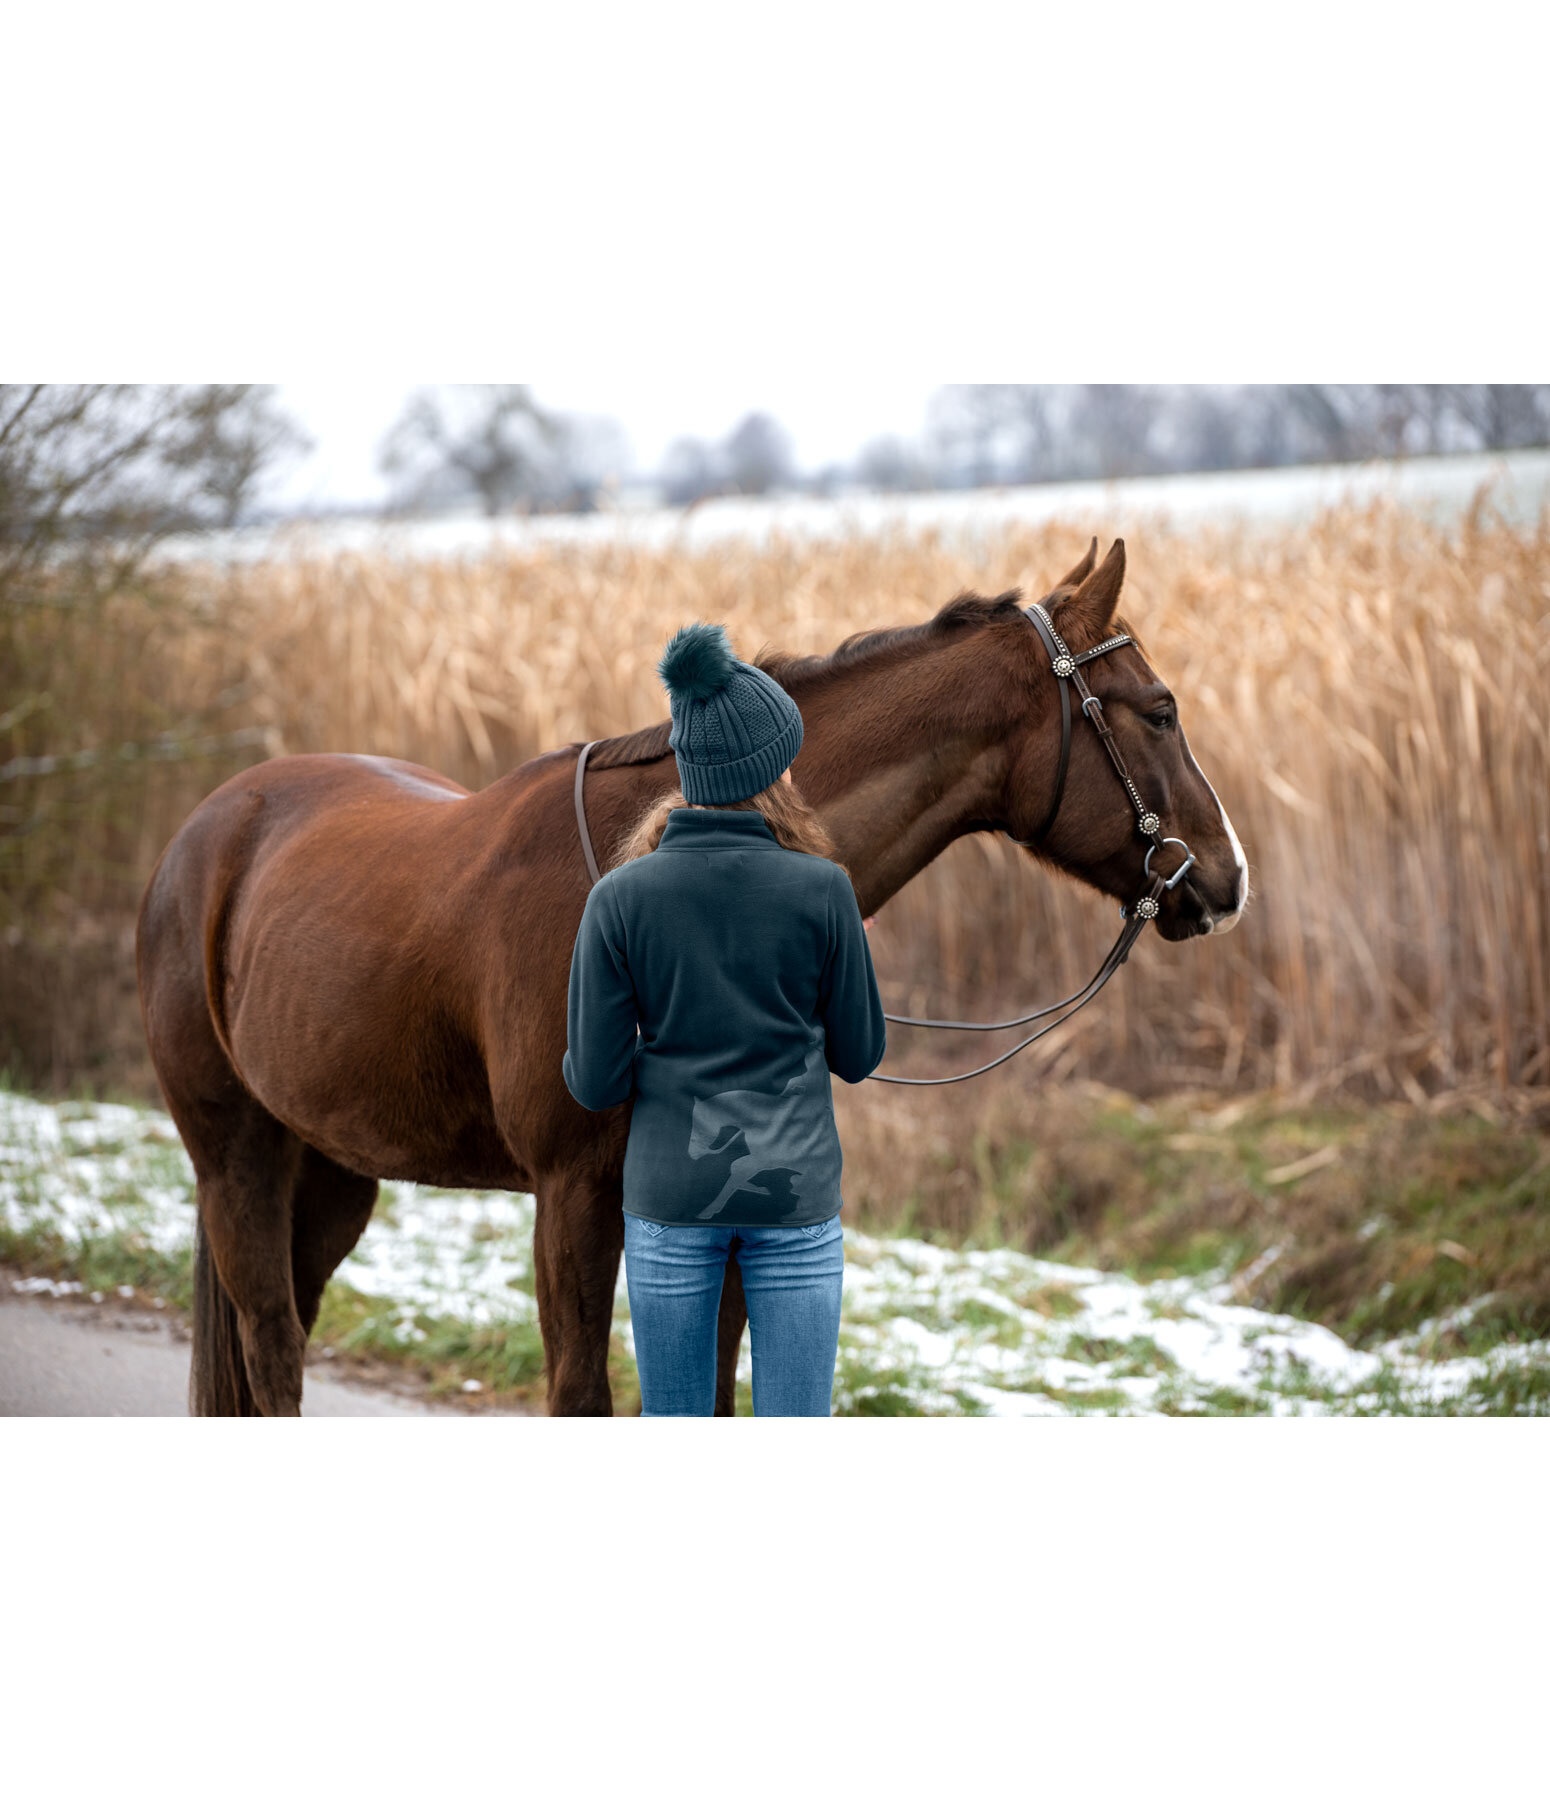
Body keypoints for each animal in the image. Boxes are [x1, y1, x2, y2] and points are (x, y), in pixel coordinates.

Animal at [133, 540, 1245, 1411]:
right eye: (1158, 711)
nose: (1227, 878)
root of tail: (207, 830)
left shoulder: (733, 1216)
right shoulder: (572, 1200)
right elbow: (581, 1393)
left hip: (328, 1167)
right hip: (237, 1159)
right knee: (271, 1348)